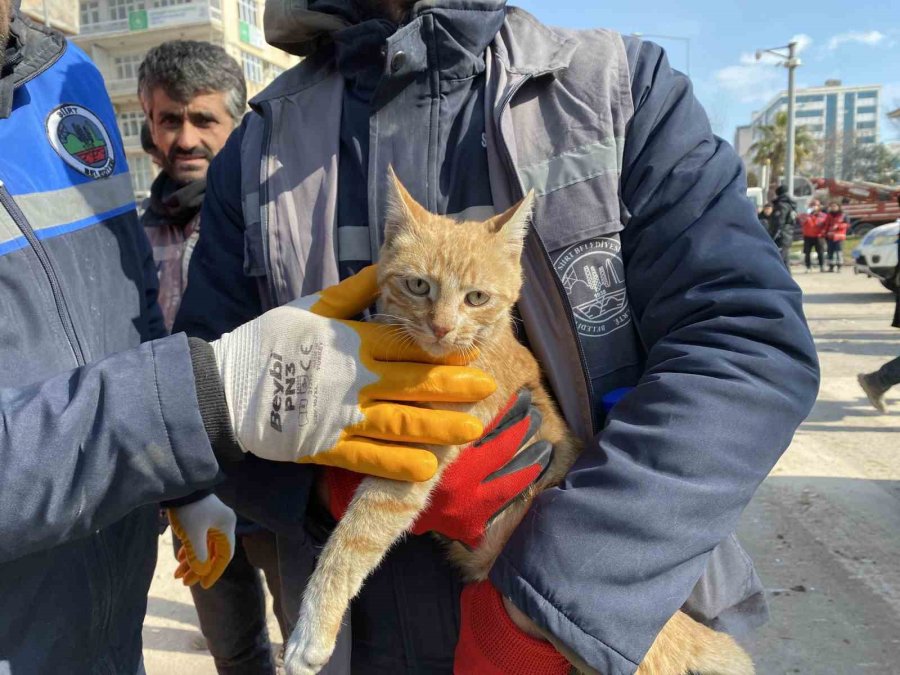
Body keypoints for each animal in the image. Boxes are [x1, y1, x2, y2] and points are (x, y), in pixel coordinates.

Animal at [284, 172, 752, 672]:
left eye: (476, 298)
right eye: (418, 286)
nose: (442, 328)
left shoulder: (416, 462)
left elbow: (353, 539)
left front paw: (312, 631)